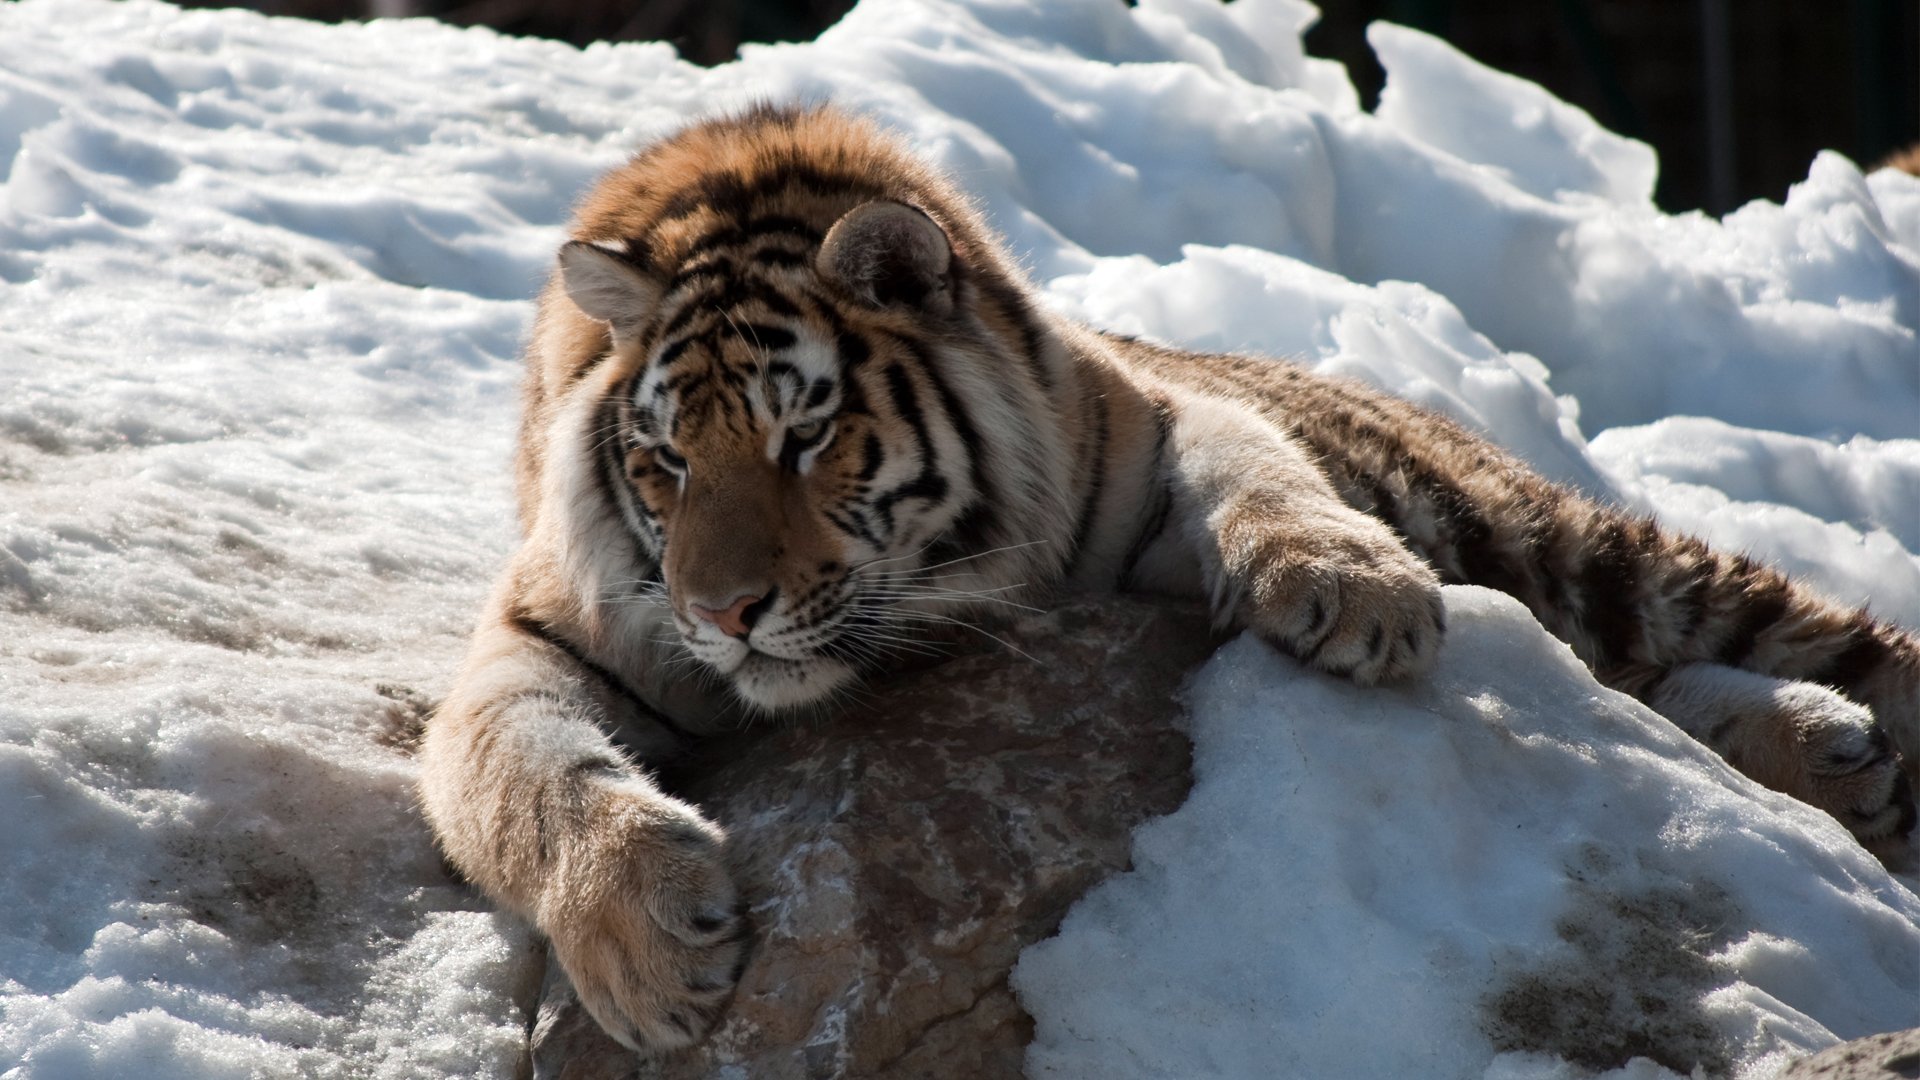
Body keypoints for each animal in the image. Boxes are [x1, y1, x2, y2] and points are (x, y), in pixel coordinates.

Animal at [412, 102, 1912, 1053]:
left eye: (806, 435)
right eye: (665, 461)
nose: (724, 613)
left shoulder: (1154, 436)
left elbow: (1260, 473)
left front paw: (1355, 592)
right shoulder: (543, 634)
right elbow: (519, 774)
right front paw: (656, 952)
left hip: (1586, 551)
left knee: (1754, 647)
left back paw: (1850, 747)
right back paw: (1841, 758)